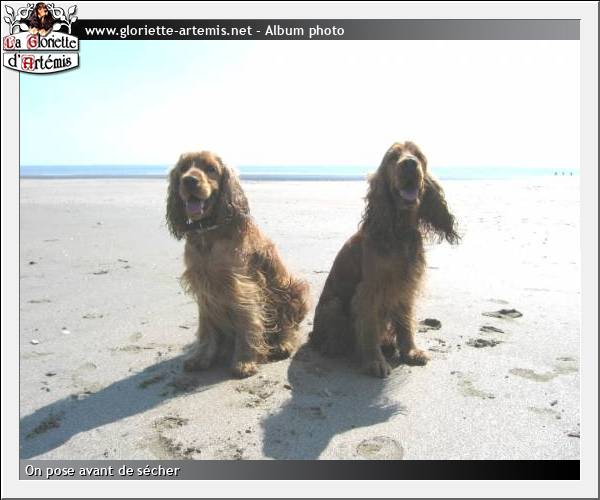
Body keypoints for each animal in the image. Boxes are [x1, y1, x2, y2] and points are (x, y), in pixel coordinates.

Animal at [166, 151, 309, 378]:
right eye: (183, 168)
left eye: (210, 168)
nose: (189, 180)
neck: (209, 232)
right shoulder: (203, 287)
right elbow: (207, 327)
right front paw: (202, 357)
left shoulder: (241, 285)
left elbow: (247, 321)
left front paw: (245, 360)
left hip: (293, 290)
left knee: (289, 324)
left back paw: (283, 344)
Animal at [309, 141, 459, 377]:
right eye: (392, 157)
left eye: (418, 155)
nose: (409, 163)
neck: (399, 230)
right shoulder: (370, 290)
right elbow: (370, 328)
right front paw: (374, 362)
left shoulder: (406, 287)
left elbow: (405, 323)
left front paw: (410, 351)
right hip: (333, 305)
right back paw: (335, 347)